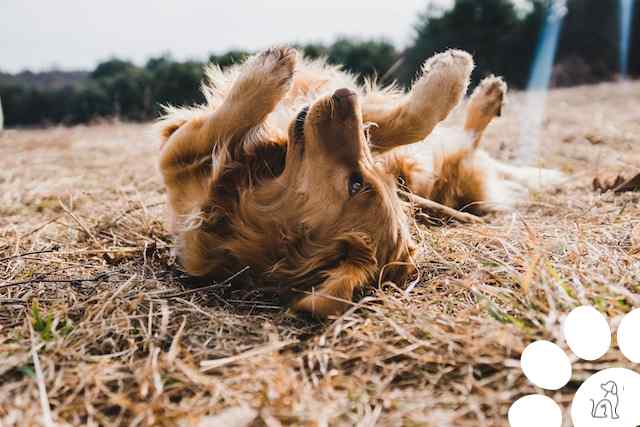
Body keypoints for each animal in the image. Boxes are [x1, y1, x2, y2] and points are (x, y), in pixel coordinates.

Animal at [158, 47, 564, 318]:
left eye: (357, 184)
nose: (345, 95)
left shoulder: (175, 158)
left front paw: (267, 74)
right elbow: (405, 122)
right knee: (464, 142)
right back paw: (488, 95)